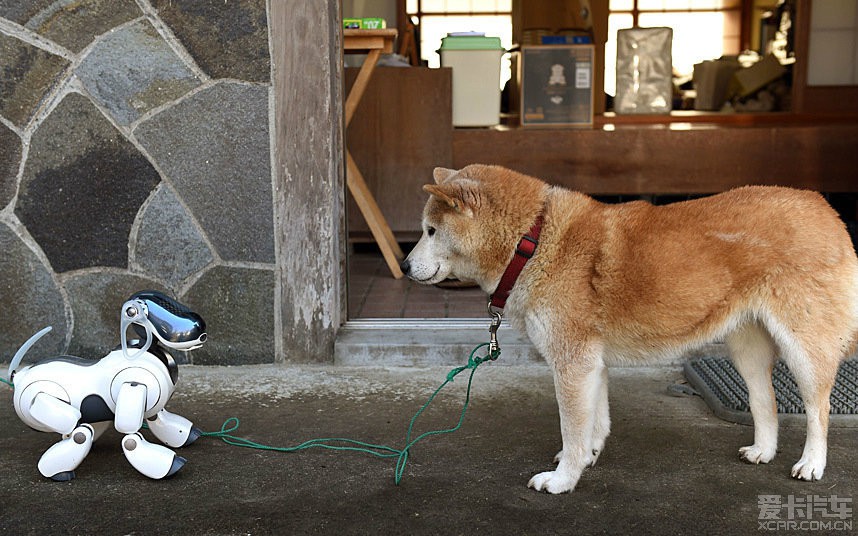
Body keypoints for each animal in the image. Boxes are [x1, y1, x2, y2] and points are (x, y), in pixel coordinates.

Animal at [6, 292, 206, 484]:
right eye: (151, 307)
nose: (200, 330)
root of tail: (19, 377)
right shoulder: (133, 384)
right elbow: (130, 436)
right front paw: (170, 465)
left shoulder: (151, 407)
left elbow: (156, 417)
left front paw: (187, 434)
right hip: (47, 402)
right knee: (79, 432)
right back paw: (58, 471)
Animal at [402, 163, 856, 494]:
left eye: (430, 231)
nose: (404, 266)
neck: (532, 241)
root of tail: (824, 208)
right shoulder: (591, 364)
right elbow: (593, 423)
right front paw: (586, 458)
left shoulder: (572, 363)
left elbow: (572, 427)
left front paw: (563, 481)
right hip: (747, 348)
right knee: (767, 401)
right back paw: (763, 450)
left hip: (804, 349)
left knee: (818, 409)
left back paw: (812, 463)